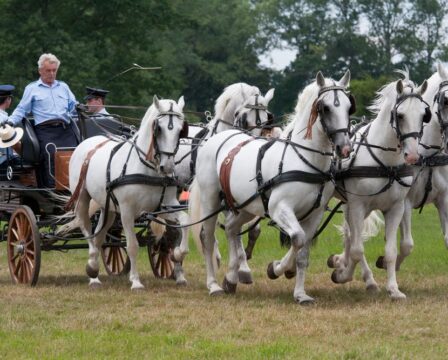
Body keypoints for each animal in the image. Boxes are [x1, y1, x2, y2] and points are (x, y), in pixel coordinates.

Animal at [67, 95, 189, 290]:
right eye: (159, 129)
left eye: (180, 130)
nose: (168, 167)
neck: (147, 169)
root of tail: (86, 142)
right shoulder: (126, 211)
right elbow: (132, 245)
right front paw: (136, 281)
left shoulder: (166, 205)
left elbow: (184, 222)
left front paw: (178, 254)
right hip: (82, 199)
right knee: (86, 228)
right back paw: (92, 270)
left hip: (107, 206)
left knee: (99, 236)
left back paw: (95, 273)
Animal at [189, 70, 354, 300]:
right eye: (326, 108)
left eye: (349, 106)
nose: (344, 148)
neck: (305, 159)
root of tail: (218, 137)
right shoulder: (279, 208)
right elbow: (297, 238)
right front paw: (277, 268)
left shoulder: (315, 214)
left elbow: (303, 251)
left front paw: (300, 293)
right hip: (211, 200)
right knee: (208, 237)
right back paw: (213, 285)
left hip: (246, 207)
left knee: (231, 228)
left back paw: (231, 278)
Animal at [328, 69, 430, 298]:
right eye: (400, 115)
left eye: (424, 115)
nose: (412, 156)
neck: (386, 164)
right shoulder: (358, 205)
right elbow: (357, 249)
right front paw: (345, 273)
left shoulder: (395, 208)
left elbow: (391, 251)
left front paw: (393, 289)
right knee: (351, 238)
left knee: (349, 236)